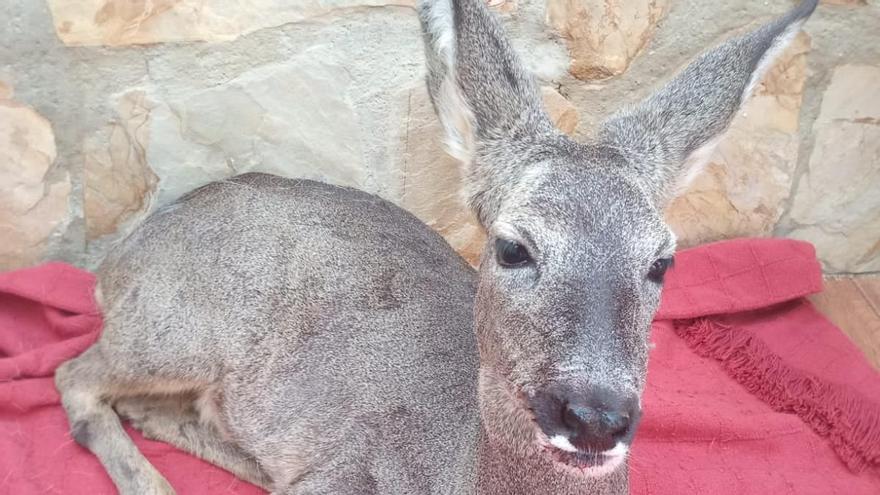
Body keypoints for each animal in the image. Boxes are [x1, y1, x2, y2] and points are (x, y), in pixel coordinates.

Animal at [56, 0, 820, 495]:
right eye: (512, 248)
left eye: (662, 262)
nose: (595, 416)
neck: (460, 467)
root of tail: (121, 258)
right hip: (179, 326)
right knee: (77, 377)